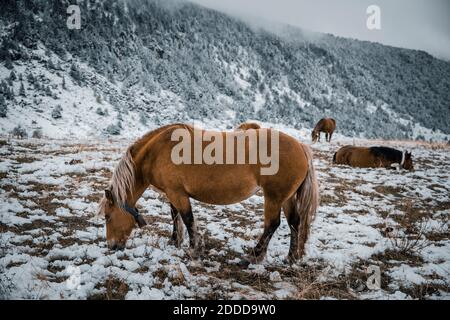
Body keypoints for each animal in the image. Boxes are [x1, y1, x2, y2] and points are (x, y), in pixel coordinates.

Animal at [97, 122, 320, 264]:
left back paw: (253, 256)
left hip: (273, 197)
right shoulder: (171, 193)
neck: (157, 152)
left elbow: (187, 219)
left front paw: (194, 249)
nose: (111, 246)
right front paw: (175, 241)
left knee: (272, 225)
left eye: (107, 216)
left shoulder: (178, 194)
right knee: (294, 223)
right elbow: (175, 216)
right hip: (286, 198)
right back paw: (290, 258)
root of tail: (301, 147)